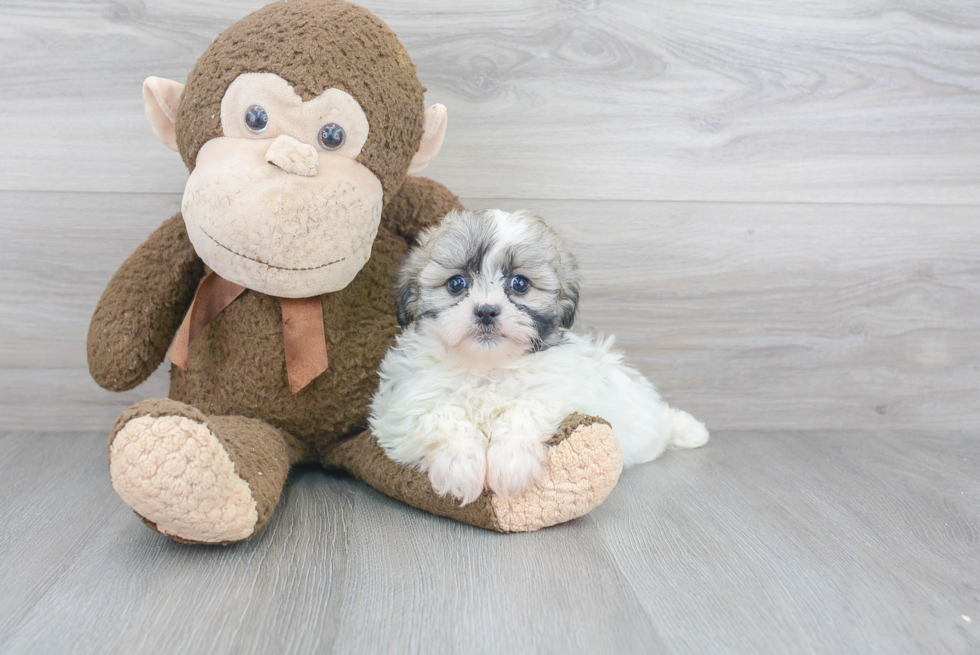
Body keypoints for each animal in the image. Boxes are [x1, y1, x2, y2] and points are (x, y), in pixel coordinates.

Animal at [372, 210, 708, 508]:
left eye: (519, 284)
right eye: (456, 283)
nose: (486, 311)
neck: (487, 366)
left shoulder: (554, 391)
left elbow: (523, 410)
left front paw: (510, 465)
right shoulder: (406, 401)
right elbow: (443, 414)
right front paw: (461, 466)